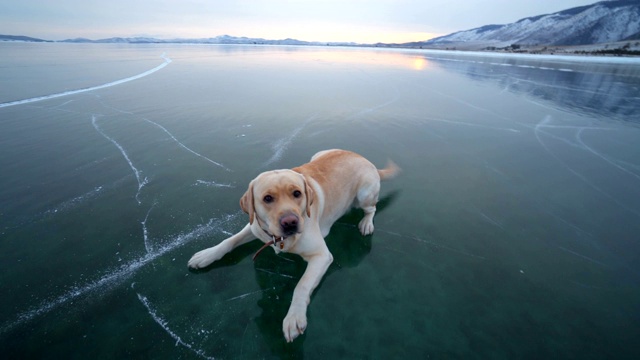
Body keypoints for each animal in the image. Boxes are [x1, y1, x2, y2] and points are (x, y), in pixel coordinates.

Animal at [186, 149, 396, 344]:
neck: (280, 239)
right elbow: (230, 240)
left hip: (364, 194)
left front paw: (294, 317)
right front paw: (207, 255)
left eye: (297, 193)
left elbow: (302, 285)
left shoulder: (322, 255)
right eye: (267, 198)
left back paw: (366, 223)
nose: (290, 222)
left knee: (372, 208)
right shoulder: (254, 226)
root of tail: (365, 159)